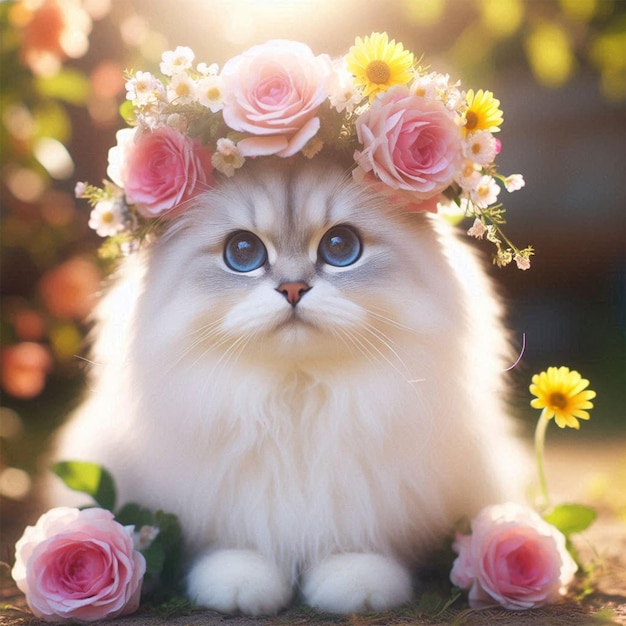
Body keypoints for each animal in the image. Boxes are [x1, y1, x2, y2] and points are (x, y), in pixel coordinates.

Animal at [51, 156, 524, 616]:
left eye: (340, 247)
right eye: (242, 252)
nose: (293, 289)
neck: (296, 395)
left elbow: (356, 541)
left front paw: (355, 582)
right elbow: (239, 543)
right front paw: (239, 583)